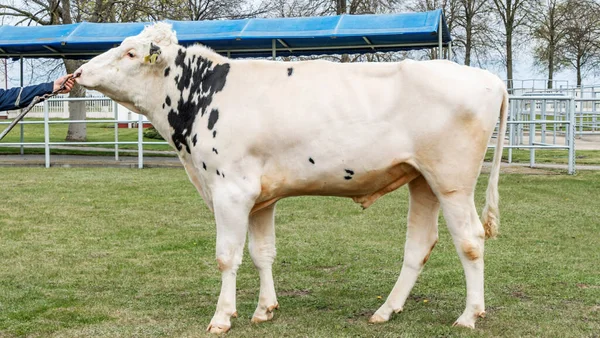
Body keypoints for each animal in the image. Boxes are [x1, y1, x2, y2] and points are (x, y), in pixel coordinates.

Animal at [74, 23, 506, 332]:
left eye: (130, 52)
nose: (78, 71)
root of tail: (489, 79)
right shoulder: (260, 197)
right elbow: (262, 253)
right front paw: (265, 309)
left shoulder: (231, 190)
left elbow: (226, 256)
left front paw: (222, 317)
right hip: (422, 179)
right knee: (419, 244)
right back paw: (386, 310)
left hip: (452, 181)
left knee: (470, 240)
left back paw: (469, 315)